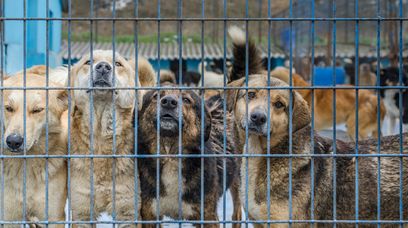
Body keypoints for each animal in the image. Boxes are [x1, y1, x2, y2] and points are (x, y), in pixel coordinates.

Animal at [137, 83, 242, 227]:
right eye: (156, 96)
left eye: (186, 99)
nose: (168, 102)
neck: (170, 156)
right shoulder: (149, 215)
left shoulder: (208, 217)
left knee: (237, 213)